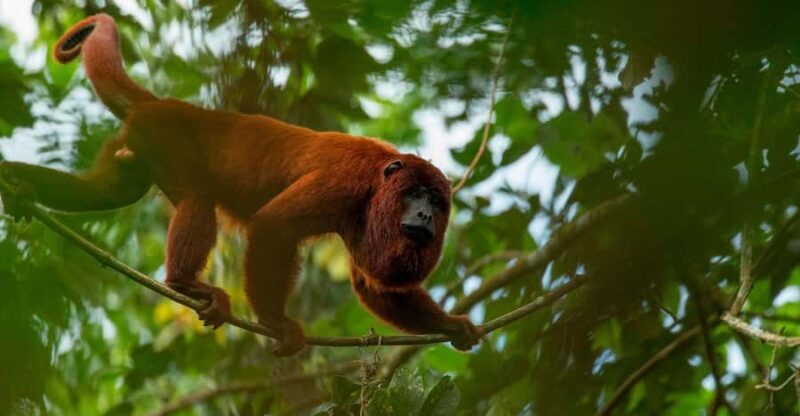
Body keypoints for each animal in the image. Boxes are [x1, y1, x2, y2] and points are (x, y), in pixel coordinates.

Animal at [0, 14, 482, 356]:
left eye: (436, 201)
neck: (380, 177)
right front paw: (276, 323)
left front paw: (452, 325)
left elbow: (372, 284)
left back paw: (19, 184)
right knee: (197, 197)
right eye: (415, 194)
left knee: (106, 192)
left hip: (132, 147)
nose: (425, 215)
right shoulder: (344, 182)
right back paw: (186, 285)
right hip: (167, 135)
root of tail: (163, 103)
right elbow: (274, 225)